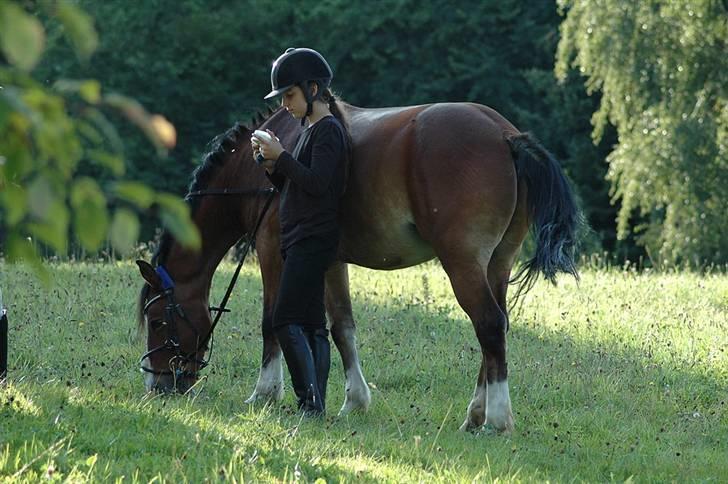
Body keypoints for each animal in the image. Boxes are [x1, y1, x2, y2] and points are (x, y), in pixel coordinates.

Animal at [136, 101, 580, 432]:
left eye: (158, 320)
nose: (157, 384)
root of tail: (505, 135)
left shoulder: (273, 253)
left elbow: (271, 323)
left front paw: (265, 393)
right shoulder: (329, 261)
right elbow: (340, 328)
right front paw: (353, 401)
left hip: (463, 264)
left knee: (487, 324)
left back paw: (496, 419)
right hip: (496, 265)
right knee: (495, 330)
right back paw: (476, 414)